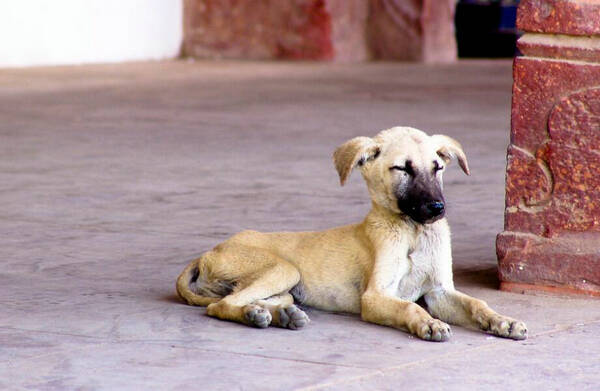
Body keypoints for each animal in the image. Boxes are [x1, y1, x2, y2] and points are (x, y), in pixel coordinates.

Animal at [176, 127, 528, 342]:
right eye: (403, 168)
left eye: (437, 167)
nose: (437, 208)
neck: (412, 233)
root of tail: (208, 252)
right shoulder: (374, 297)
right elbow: (409, 307)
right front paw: (427, 323)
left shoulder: (440, 292)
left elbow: (477, 303)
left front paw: (503, 321)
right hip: (283, 269)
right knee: (219, 306)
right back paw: (256, 315)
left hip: (286, 287)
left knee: (249, 301)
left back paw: (274, 315)